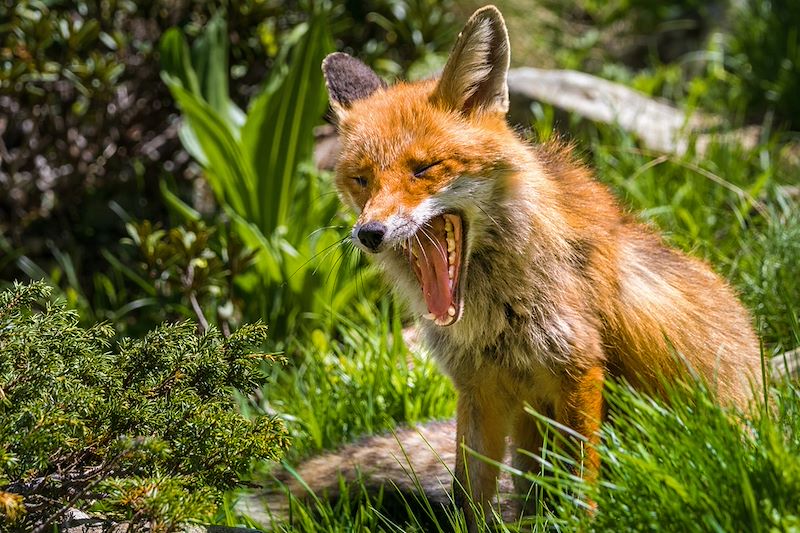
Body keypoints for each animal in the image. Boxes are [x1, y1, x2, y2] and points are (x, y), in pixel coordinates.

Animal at [318, 3, 764, 528]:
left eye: (423, 169)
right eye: (361, 179)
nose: (369, 234)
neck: (494, 314)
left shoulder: (579, 370)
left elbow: (581, 485)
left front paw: (585, 524)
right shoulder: (478, 387)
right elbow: (469, 496)